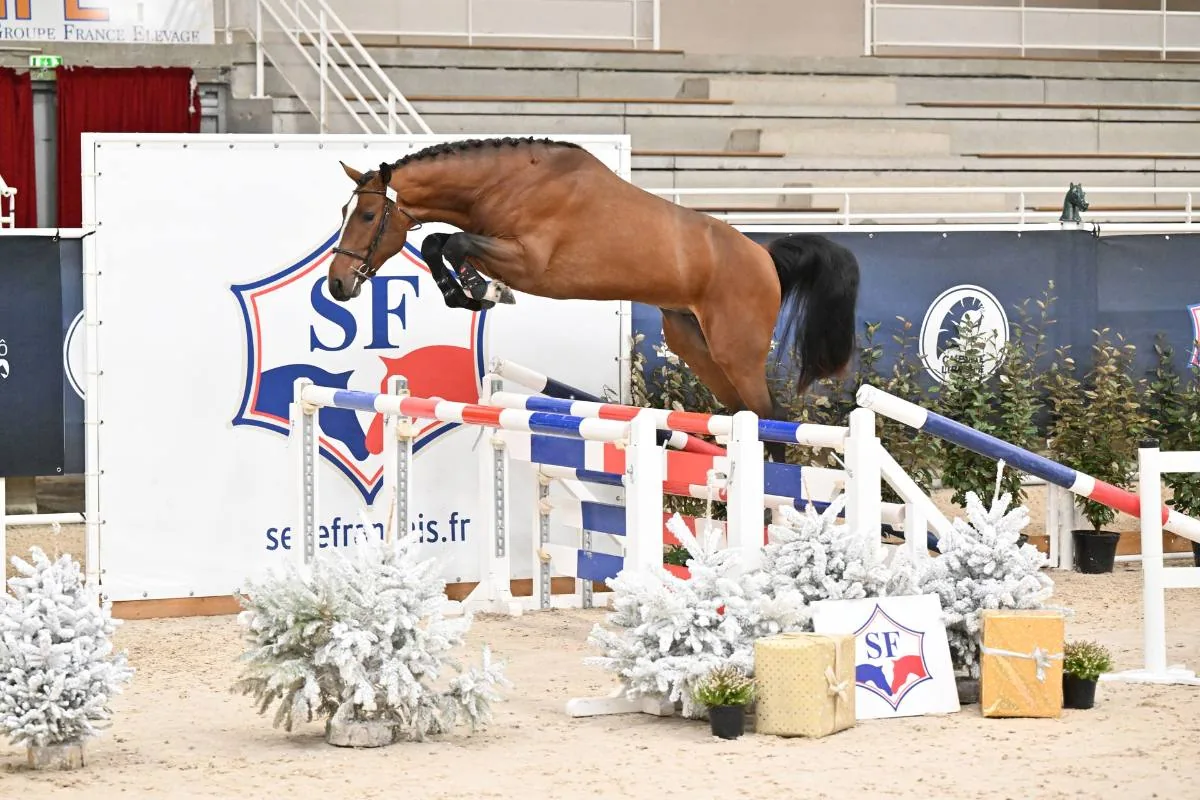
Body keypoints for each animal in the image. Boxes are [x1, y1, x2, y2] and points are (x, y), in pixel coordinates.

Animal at [326, 136, 860, 461]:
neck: (507, 183)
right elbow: (438, 243)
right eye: (345, 212)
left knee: (773, 419)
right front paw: (468, 294)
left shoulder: (528, 261)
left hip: (737, 350)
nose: (337, 284)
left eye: (369, 215)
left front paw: (483, 292)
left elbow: (452, 243)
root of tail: (764, 257)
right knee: (743, 416)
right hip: (695, 343)